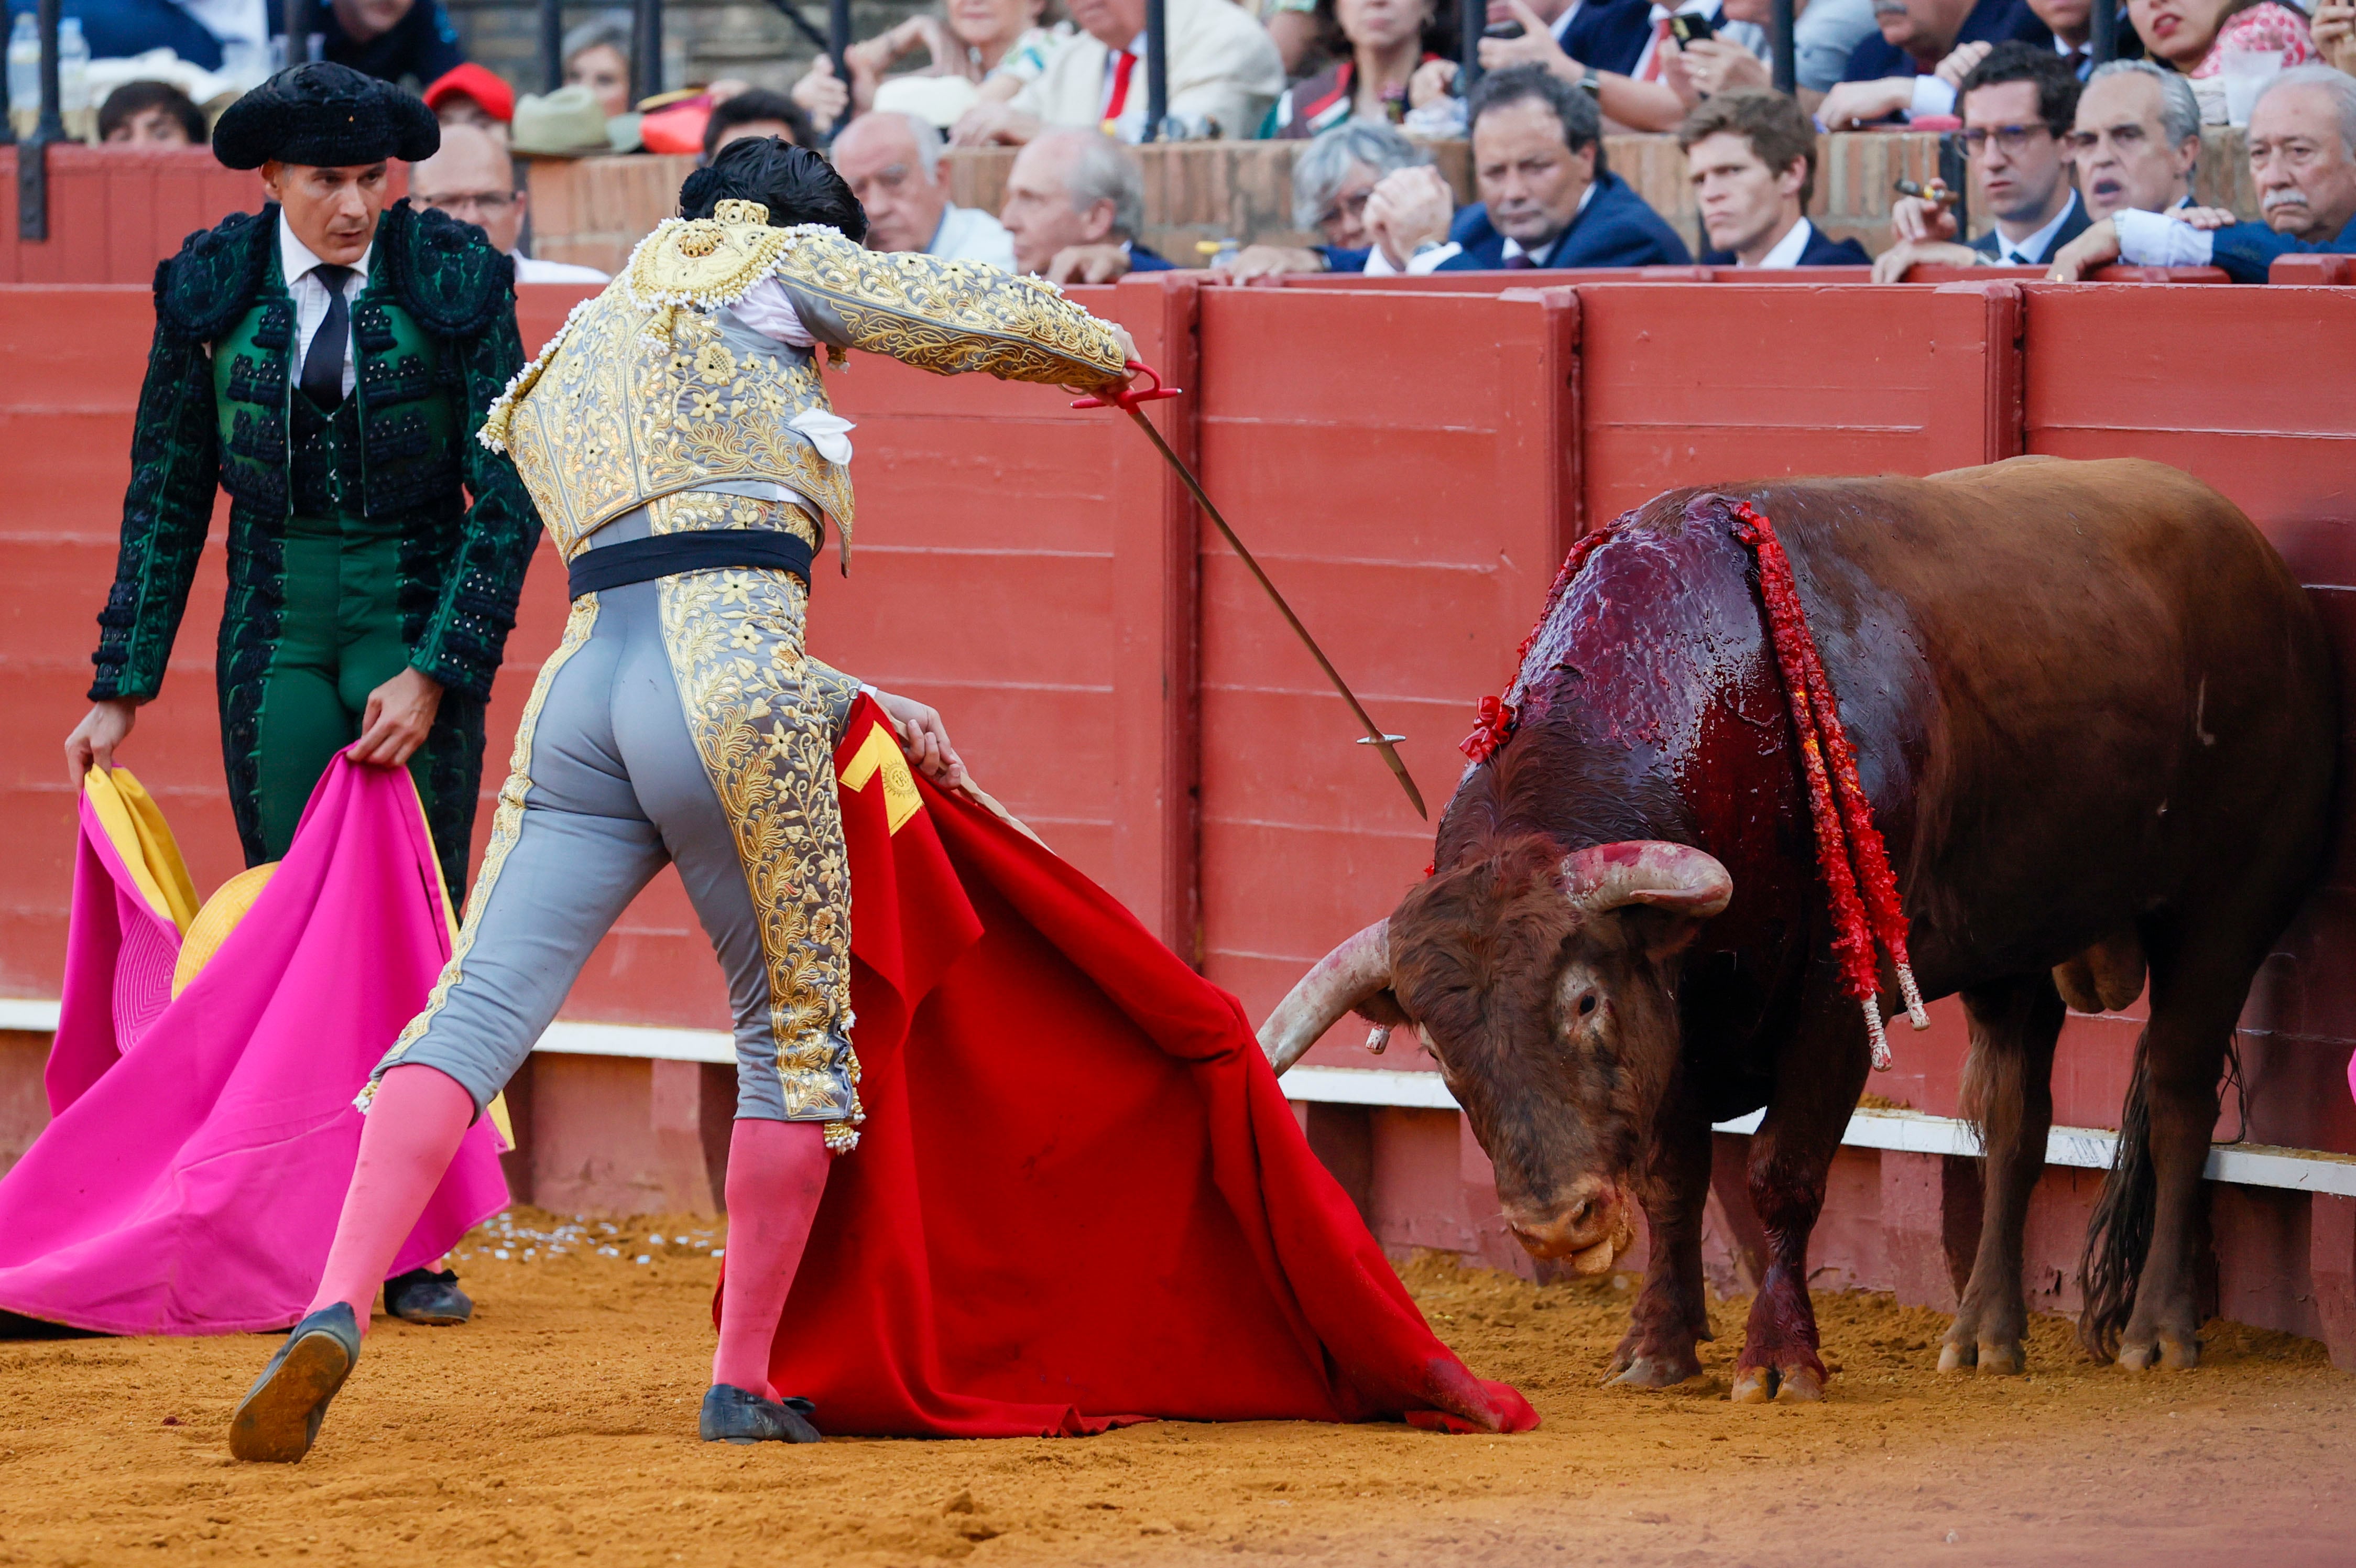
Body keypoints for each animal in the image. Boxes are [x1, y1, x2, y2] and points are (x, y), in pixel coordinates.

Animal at [1262, 452, 2328, 1396]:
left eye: (1584, 1001)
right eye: (1439, 1053)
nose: (1556, 1226)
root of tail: (2264, 567)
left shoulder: (1834, 997)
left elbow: (1782, 1169)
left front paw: (1778, 1361)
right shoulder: (1681, 1011)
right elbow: (1676, 1175)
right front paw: (1657, 1350)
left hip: (2224, 912)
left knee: (2180, 1096)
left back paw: (2157, 1332)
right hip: (2017, 948)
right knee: (2015, 1119)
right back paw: (1984, 1335)